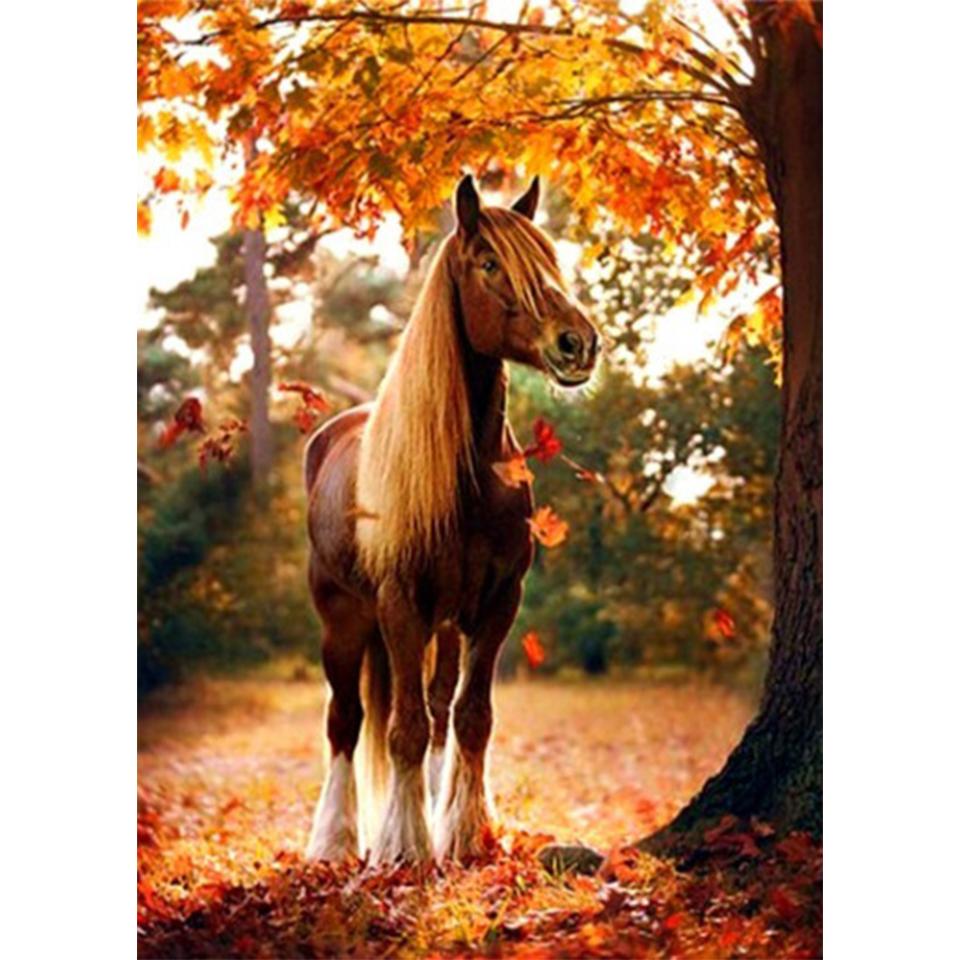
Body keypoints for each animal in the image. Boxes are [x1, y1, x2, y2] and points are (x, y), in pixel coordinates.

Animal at [303, 174, 600, 865]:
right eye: (489, 263)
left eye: (550, 260)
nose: (577, 343)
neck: (469, 479)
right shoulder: (400, 603)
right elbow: (403, 727)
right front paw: (403, 847)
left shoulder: (495, 605)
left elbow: (470, 717)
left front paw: (462, 833)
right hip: (344, 618)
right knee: (345, 721)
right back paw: (334, 841)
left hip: (441, 624)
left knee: (438, 711)